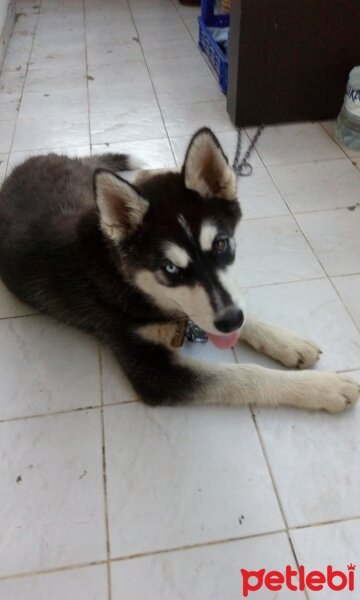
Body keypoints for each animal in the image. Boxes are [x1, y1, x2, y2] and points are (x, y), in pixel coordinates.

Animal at [0, 129, 358, 412]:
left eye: (221, 245)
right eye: (170, 268)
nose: (230, 320)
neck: (124, 278)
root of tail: (21, 167)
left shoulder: (223, 302)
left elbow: (240, 308)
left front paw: (287, 342)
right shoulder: (152, 371)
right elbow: (245, 375)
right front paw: (324, 387)